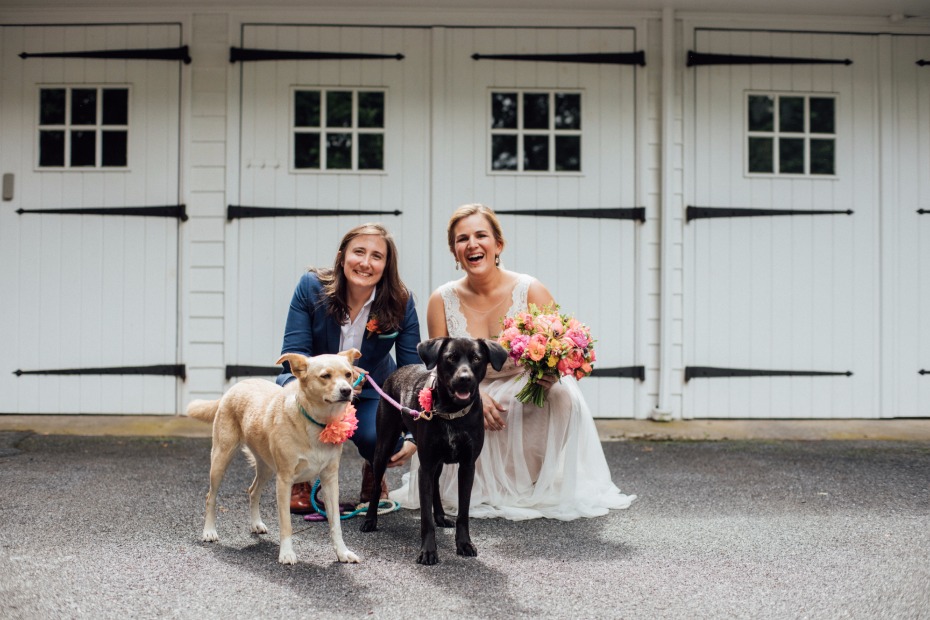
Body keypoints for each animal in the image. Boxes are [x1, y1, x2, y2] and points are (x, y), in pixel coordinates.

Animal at [187, 352, 360, 564]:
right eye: (325, 376)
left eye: (348, 374)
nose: (347, 391)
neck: (316, 423)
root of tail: (236, 386)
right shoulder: (284, 481)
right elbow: (286, 524)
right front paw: (286, 553)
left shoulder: (330, 480)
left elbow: (335, 523)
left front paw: (342, 552)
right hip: (221, 459)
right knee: (210, 497)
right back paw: (209, 531)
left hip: (266, 467)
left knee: (253, 491)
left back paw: (255, 523)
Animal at [360, 336, 508, 564]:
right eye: (451, 358)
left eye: (476, 358)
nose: (465, 378)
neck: (452, 411)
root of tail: (396, 372)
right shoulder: (426, 466)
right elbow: (425, 519)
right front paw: (428, 551)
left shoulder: (467, 466)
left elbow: (463, 513)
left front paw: (464, 543)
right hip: (383, 447)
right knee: (377, 485)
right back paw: (370, 519)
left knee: (436, 487)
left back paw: (440, 516)